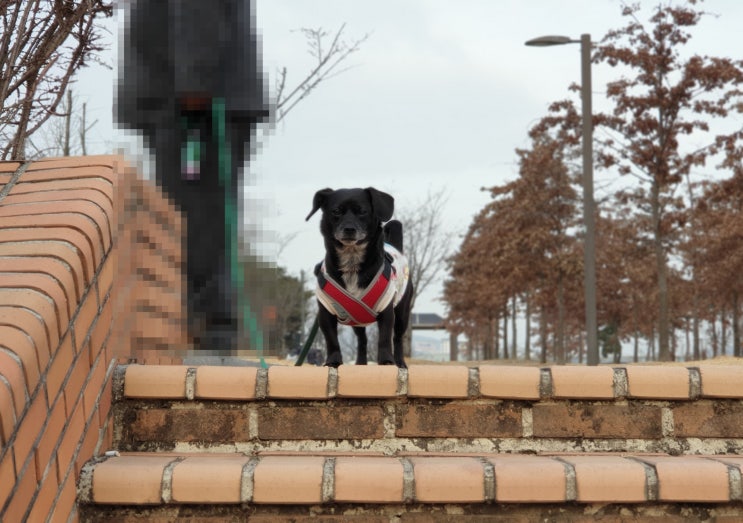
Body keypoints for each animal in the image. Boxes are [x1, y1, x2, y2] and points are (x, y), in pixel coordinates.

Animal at [306, 188, 412, 368]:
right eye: (336, 211)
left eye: (363, 211)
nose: (349, 228)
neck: (352, 263)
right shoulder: (325, 313)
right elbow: (331, 339)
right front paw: (333, 361)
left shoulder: (387, 311)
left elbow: (385, 338)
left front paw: (386, 361)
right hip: (356, 318)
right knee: (362, 340)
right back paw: (360, 363)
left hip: (402, 313)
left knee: (397, 338)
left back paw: (399, 363)